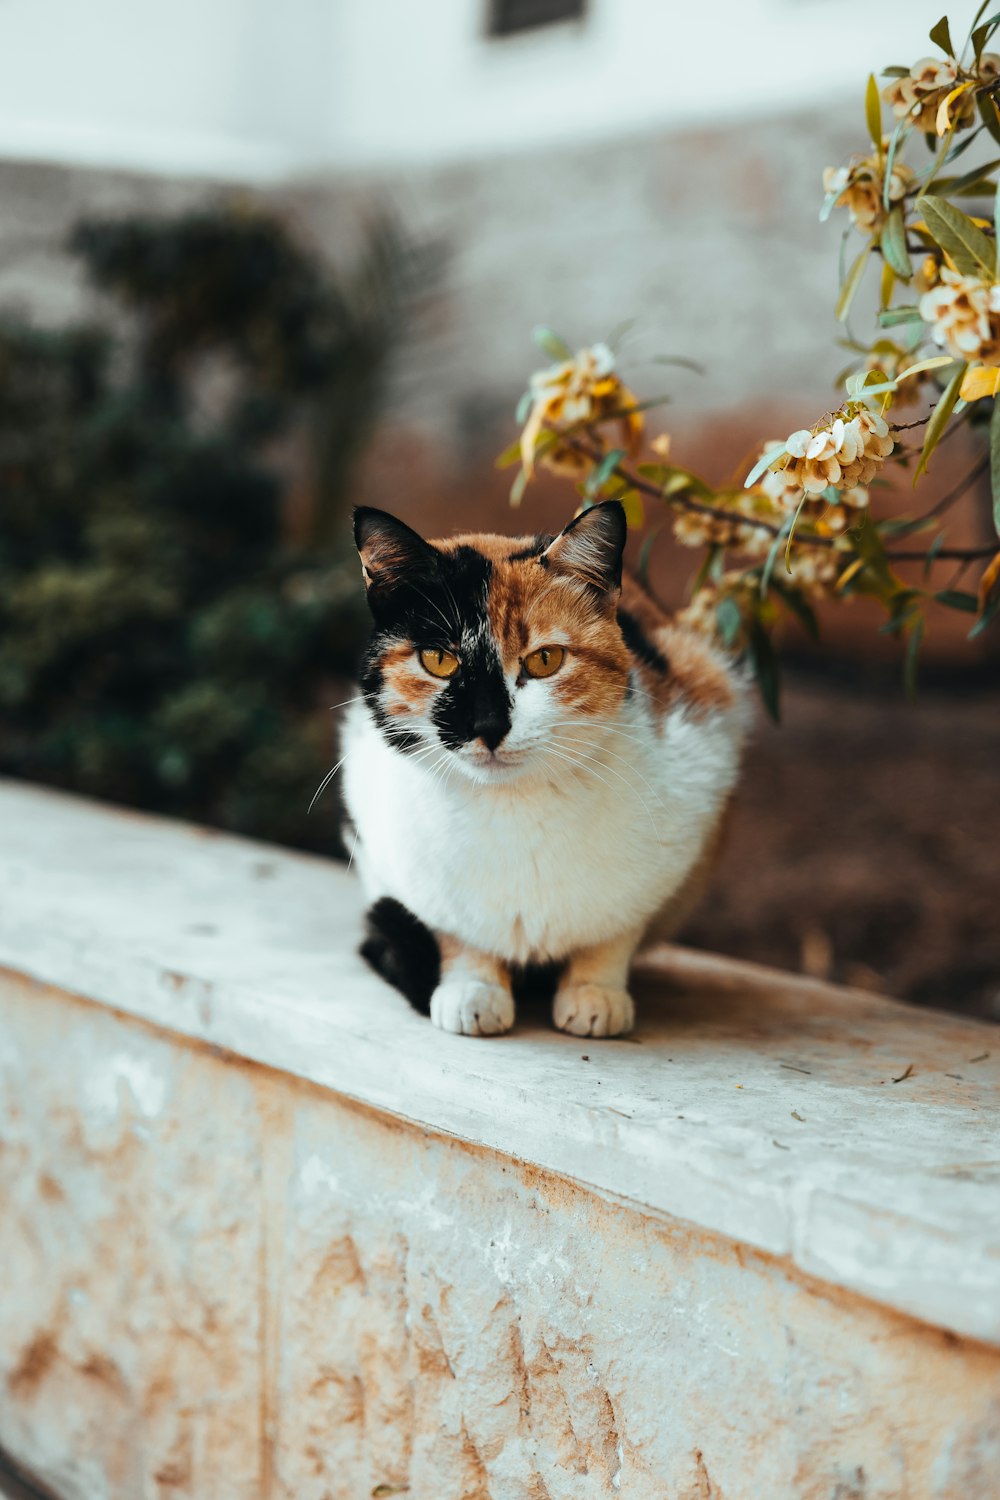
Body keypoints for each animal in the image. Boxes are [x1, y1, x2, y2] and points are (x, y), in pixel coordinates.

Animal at [340, 498, 746, 1038]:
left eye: (546, 659)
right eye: (439, 660)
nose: (488, 725)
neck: (515, 808)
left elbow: (614, 932)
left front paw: (595, 994)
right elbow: (458, 934)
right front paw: (473, 991)